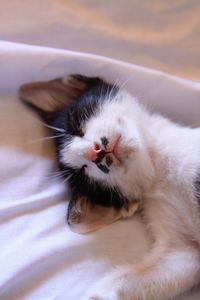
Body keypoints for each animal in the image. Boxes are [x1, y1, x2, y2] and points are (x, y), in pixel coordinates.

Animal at [19, 73, 200, 300]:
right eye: (83, 174)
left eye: (76, 126)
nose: (94, 153)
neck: (160, 166)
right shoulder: (181, 249)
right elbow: (177, 262)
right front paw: (98, 295)